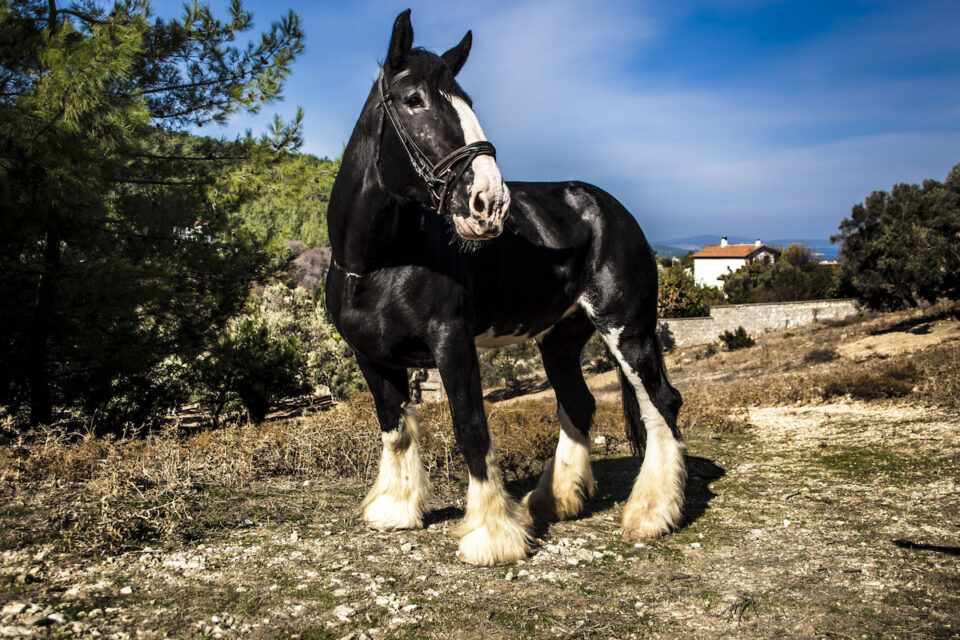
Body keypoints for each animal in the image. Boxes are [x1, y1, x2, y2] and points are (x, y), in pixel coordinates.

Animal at [325, 10, 686, 566]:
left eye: (468, 102)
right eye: (414, 100)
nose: (490, 201)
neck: (378, 262)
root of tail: (609, 209)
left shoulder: (452, 342)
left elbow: (472, 427)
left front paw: (491, 535)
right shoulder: (372, 355)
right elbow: (396, 429)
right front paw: (396, 510)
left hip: (628, 330)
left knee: (660, 403)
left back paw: (653, 513)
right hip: (560, 339)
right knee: (579, 404)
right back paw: (553, 500)